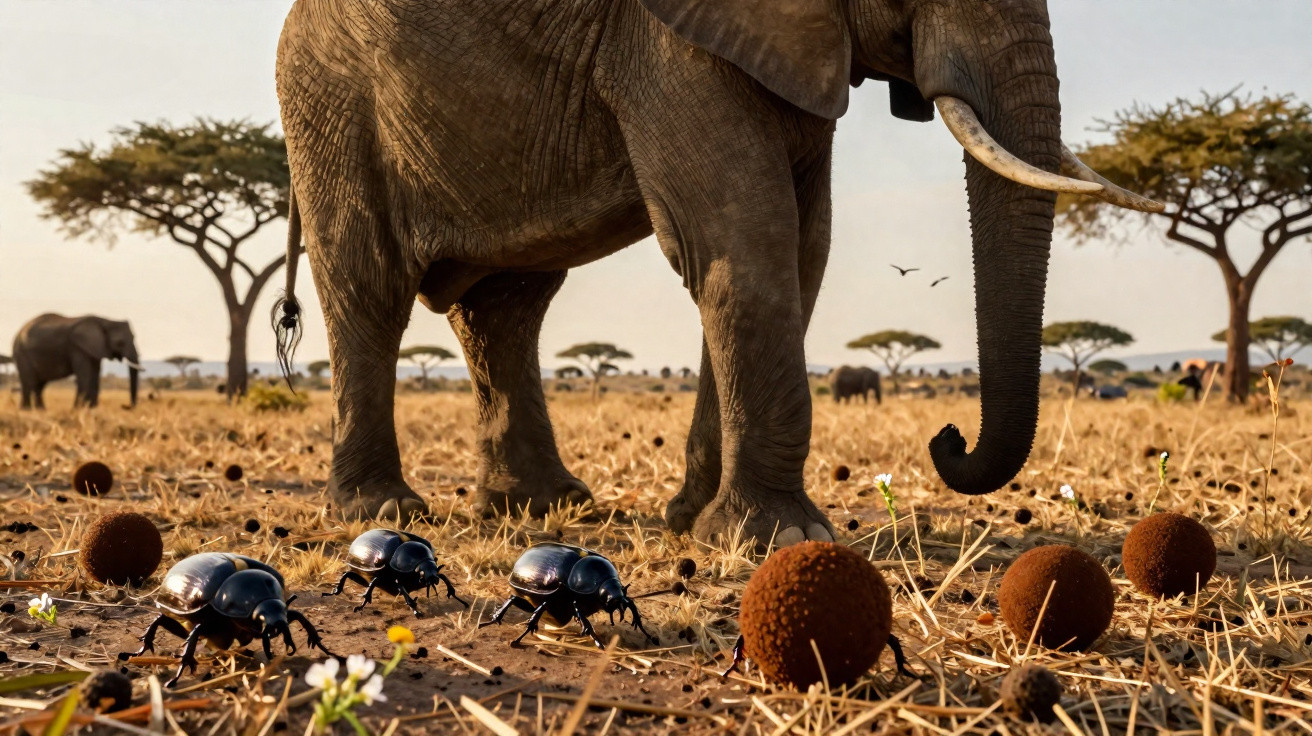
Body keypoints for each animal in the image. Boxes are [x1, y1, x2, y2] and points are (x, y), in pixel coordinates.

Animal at [13, 314, 141, 409]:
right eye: (120, 343)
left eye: (134, 337)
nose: (125, 406)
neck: (105, 320)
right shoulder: (77, 348)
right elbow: (83, 375)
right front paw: (78, 409)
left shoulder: (94, 348)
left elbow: (95, 375)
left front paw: (91, 408)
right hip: (22, 354)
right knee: (29, 382)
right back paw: (26, 410)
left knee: (39, 384)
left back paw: (40, 410)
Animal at [272, 0, 1159, 543]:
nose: (947, 439)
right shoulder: (664, 38)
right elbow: (743, 234)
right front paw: (779, 537)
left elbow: (802, 249)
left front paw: (694, 521)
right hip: (328, 99)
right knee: (370, 289)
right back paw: (384, 511)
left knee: (505, 305)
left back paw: (545, 506)